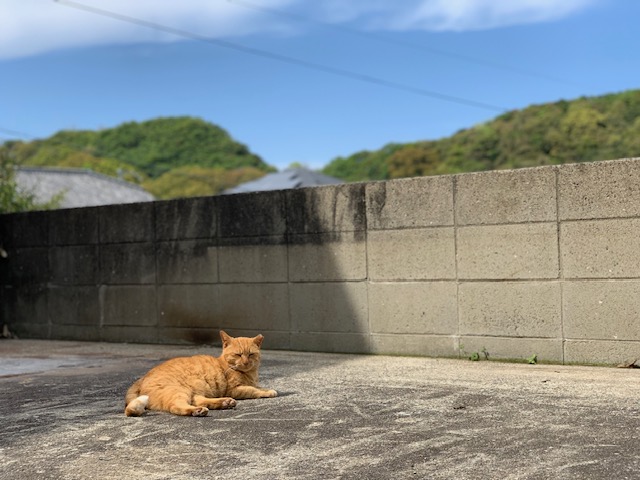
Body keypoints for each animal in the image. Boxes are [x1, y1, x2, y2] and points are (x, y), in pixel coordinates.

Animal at [124, 330, 276, 416]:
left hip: (192, 391)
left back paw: (225, 402)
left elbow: (257, 387)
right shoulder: (234, 389)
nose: (245, 362)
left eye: (250, 354)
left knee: (200, 401)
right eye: (238, 355)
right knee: (176, 406)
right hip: (178, 391)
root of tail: (142, 378)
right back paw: (198, 411)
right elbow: (253, 390)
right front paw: (268, 392)